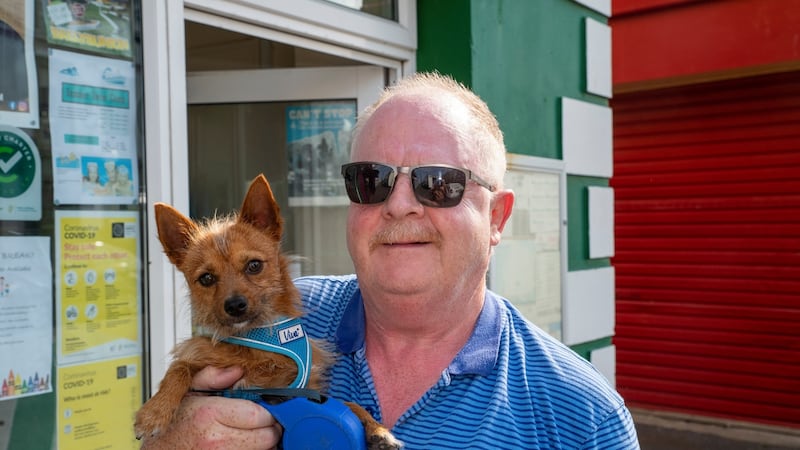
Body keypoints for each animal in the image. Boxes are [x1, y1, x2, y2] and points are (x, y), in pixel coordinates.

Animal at [138, 174, 404, 448]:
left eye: (254, 265)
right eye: (206, 278)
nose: (235, 305)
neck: (256, 339)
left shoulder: (301, 387)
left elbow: (348, 403)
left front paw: (377, 428)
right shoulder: (204, 363)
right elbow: (179, 368)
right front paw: (154, 412)